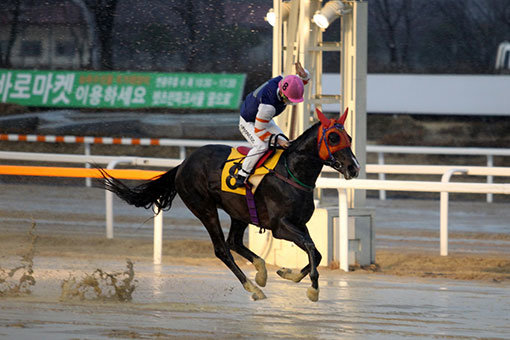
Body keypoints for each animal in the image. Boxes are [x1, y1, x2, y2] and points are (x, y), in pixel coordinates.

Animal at [97, 107, 360, 302]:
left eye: (349, 137)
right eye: (333, 137)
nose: (354, 167)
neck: (292, 172)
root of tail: (183, 164)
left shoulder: (299, 223)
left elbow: (316, 251)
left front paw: (288, 274)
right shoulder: (280, 226)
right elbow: (310, 247)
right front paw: (313, 289)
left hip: (239, 212)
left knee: (234, 241)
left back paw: (261, 273)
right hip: (204, 208)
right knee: (222, 249)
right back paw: (254, 288)